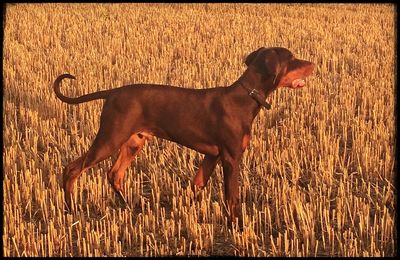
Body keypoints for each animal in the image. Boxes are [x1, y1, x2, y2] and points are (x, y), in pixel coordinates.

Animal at [54, 46, 316, 225]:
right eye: (292, 59)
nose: (314, 64)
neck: (245, 97)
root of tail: (113, 92)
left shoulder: (212, 156)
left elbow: (197, 184)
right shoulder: (231, 157)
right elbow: (232, 195)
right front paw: (237, 227)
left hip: (134, 142)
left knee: (114, 174)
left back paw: (129, 206)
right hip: (110, 138)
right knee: (72, 169)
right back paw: (70, 210)